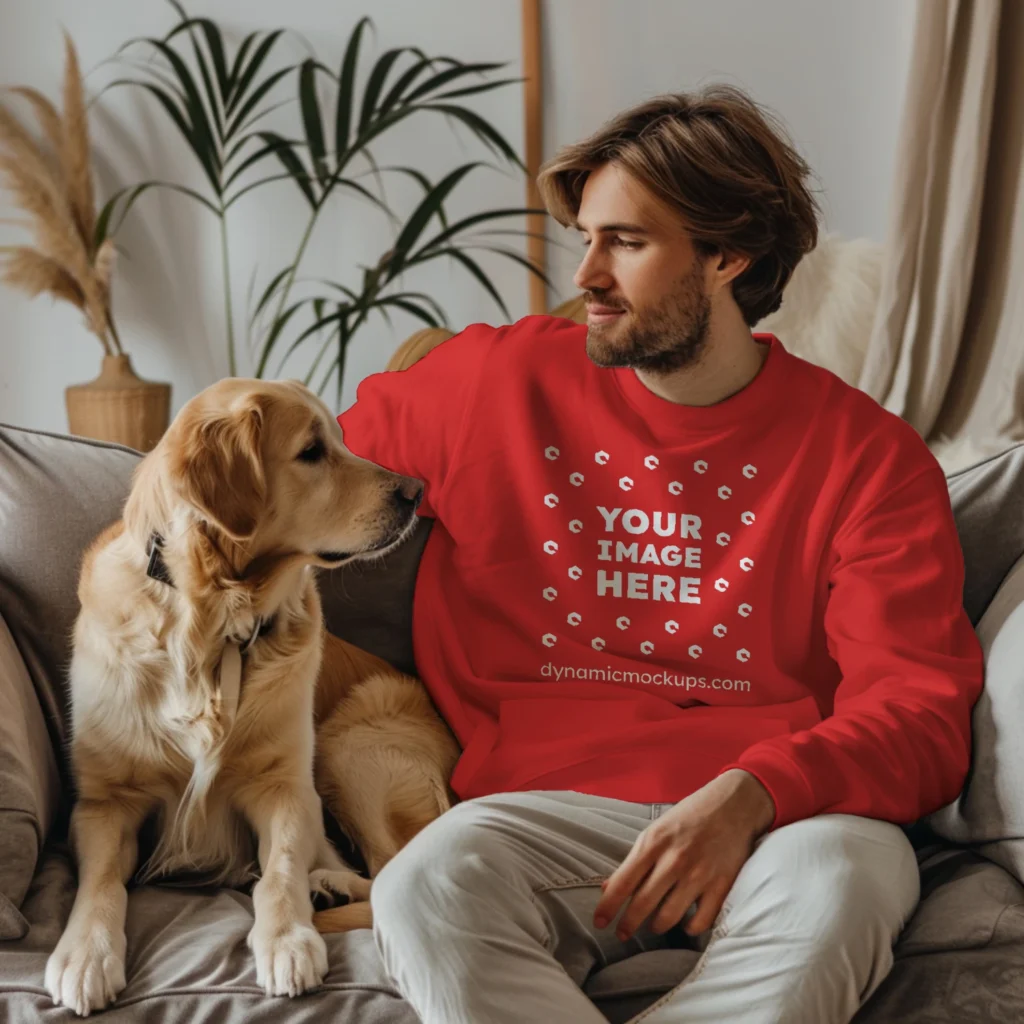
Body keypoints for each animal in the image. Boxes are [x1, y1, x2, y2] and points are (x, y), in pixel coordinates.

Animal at [45, 378, 456, 1015]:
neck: (212, 623)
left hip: (349, 748)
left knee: (390, 872)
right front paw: (85, 954)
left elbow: (280, 871)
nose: (417, 493)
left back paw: (329, 887)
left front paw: (287, 940)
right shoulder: (104, 803)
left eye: (342, 440)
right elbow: (102, 882)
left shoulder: (285, 787)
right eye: (312, 451)